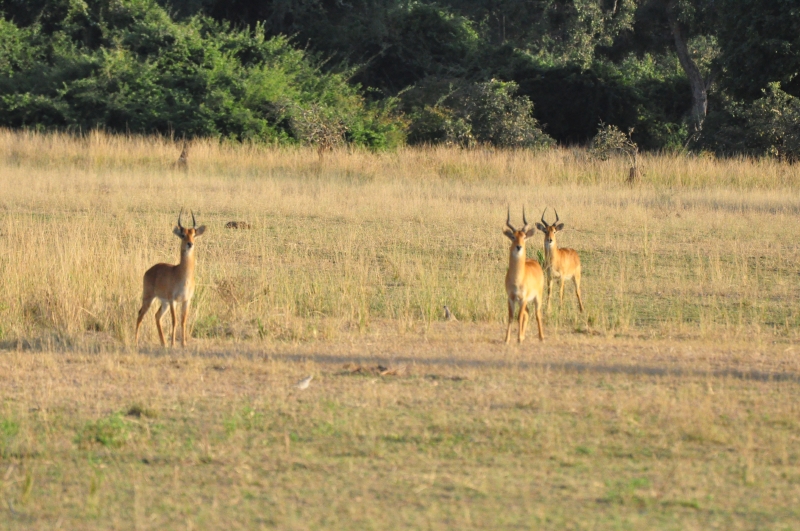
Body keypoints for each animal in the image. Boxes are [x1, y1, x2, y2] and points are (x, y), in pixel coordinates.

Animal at [135, 209, 206, 348]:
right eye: (183, 235)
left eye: (194, 234)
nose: (190, 244)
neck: (182, 275)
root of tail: (149, 270)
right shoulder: (173, 300)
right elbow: (174, 321)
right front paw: (173, 343)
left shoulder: (186, 300)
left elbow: (183, 321)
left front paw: (183, 344)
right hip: (149, 298)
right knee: (140, 314)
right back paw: (135, 341)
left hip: (164, 303)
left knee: (157, 316)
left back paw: (163, 343)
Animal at [503, 207, 545, 343]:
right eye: (513, 236)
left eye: (524, 236)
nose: (519, 247)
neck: (517, 279)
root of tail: (534, 262)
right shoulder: (511, 298)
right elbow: (511, 317)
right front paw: (507, 339)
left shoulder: (523, 299)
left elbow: (519, 317)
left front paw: (518, 338)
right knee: (527, 313)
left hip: (538, 298)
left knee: (537, 314)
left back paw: (541, 337)